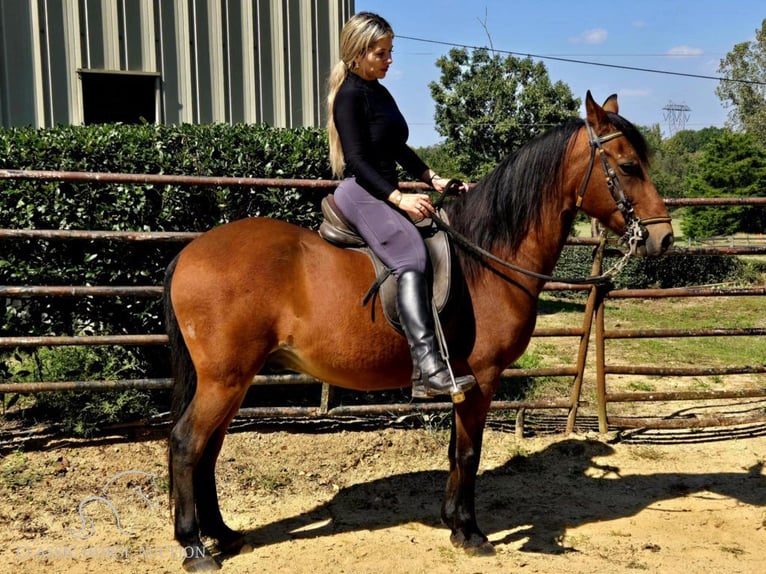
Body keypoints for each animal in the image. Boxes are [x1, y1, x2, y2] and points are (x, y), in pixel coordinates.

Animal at [166, 92, 672, 572]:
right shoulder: (482, 378)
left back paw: (224, 534)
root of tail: (190, 253)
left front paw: (453, 522)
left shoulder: (464, 383)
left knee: (209, 449)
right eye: (629, 165)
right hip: (225, 379)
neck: (485, 256)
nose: (663, 237)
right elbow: (468, 453)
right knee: (188, 444)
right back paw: (195, 547)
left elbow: (454, 451)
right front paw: (469, 532)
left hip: (235, 381)